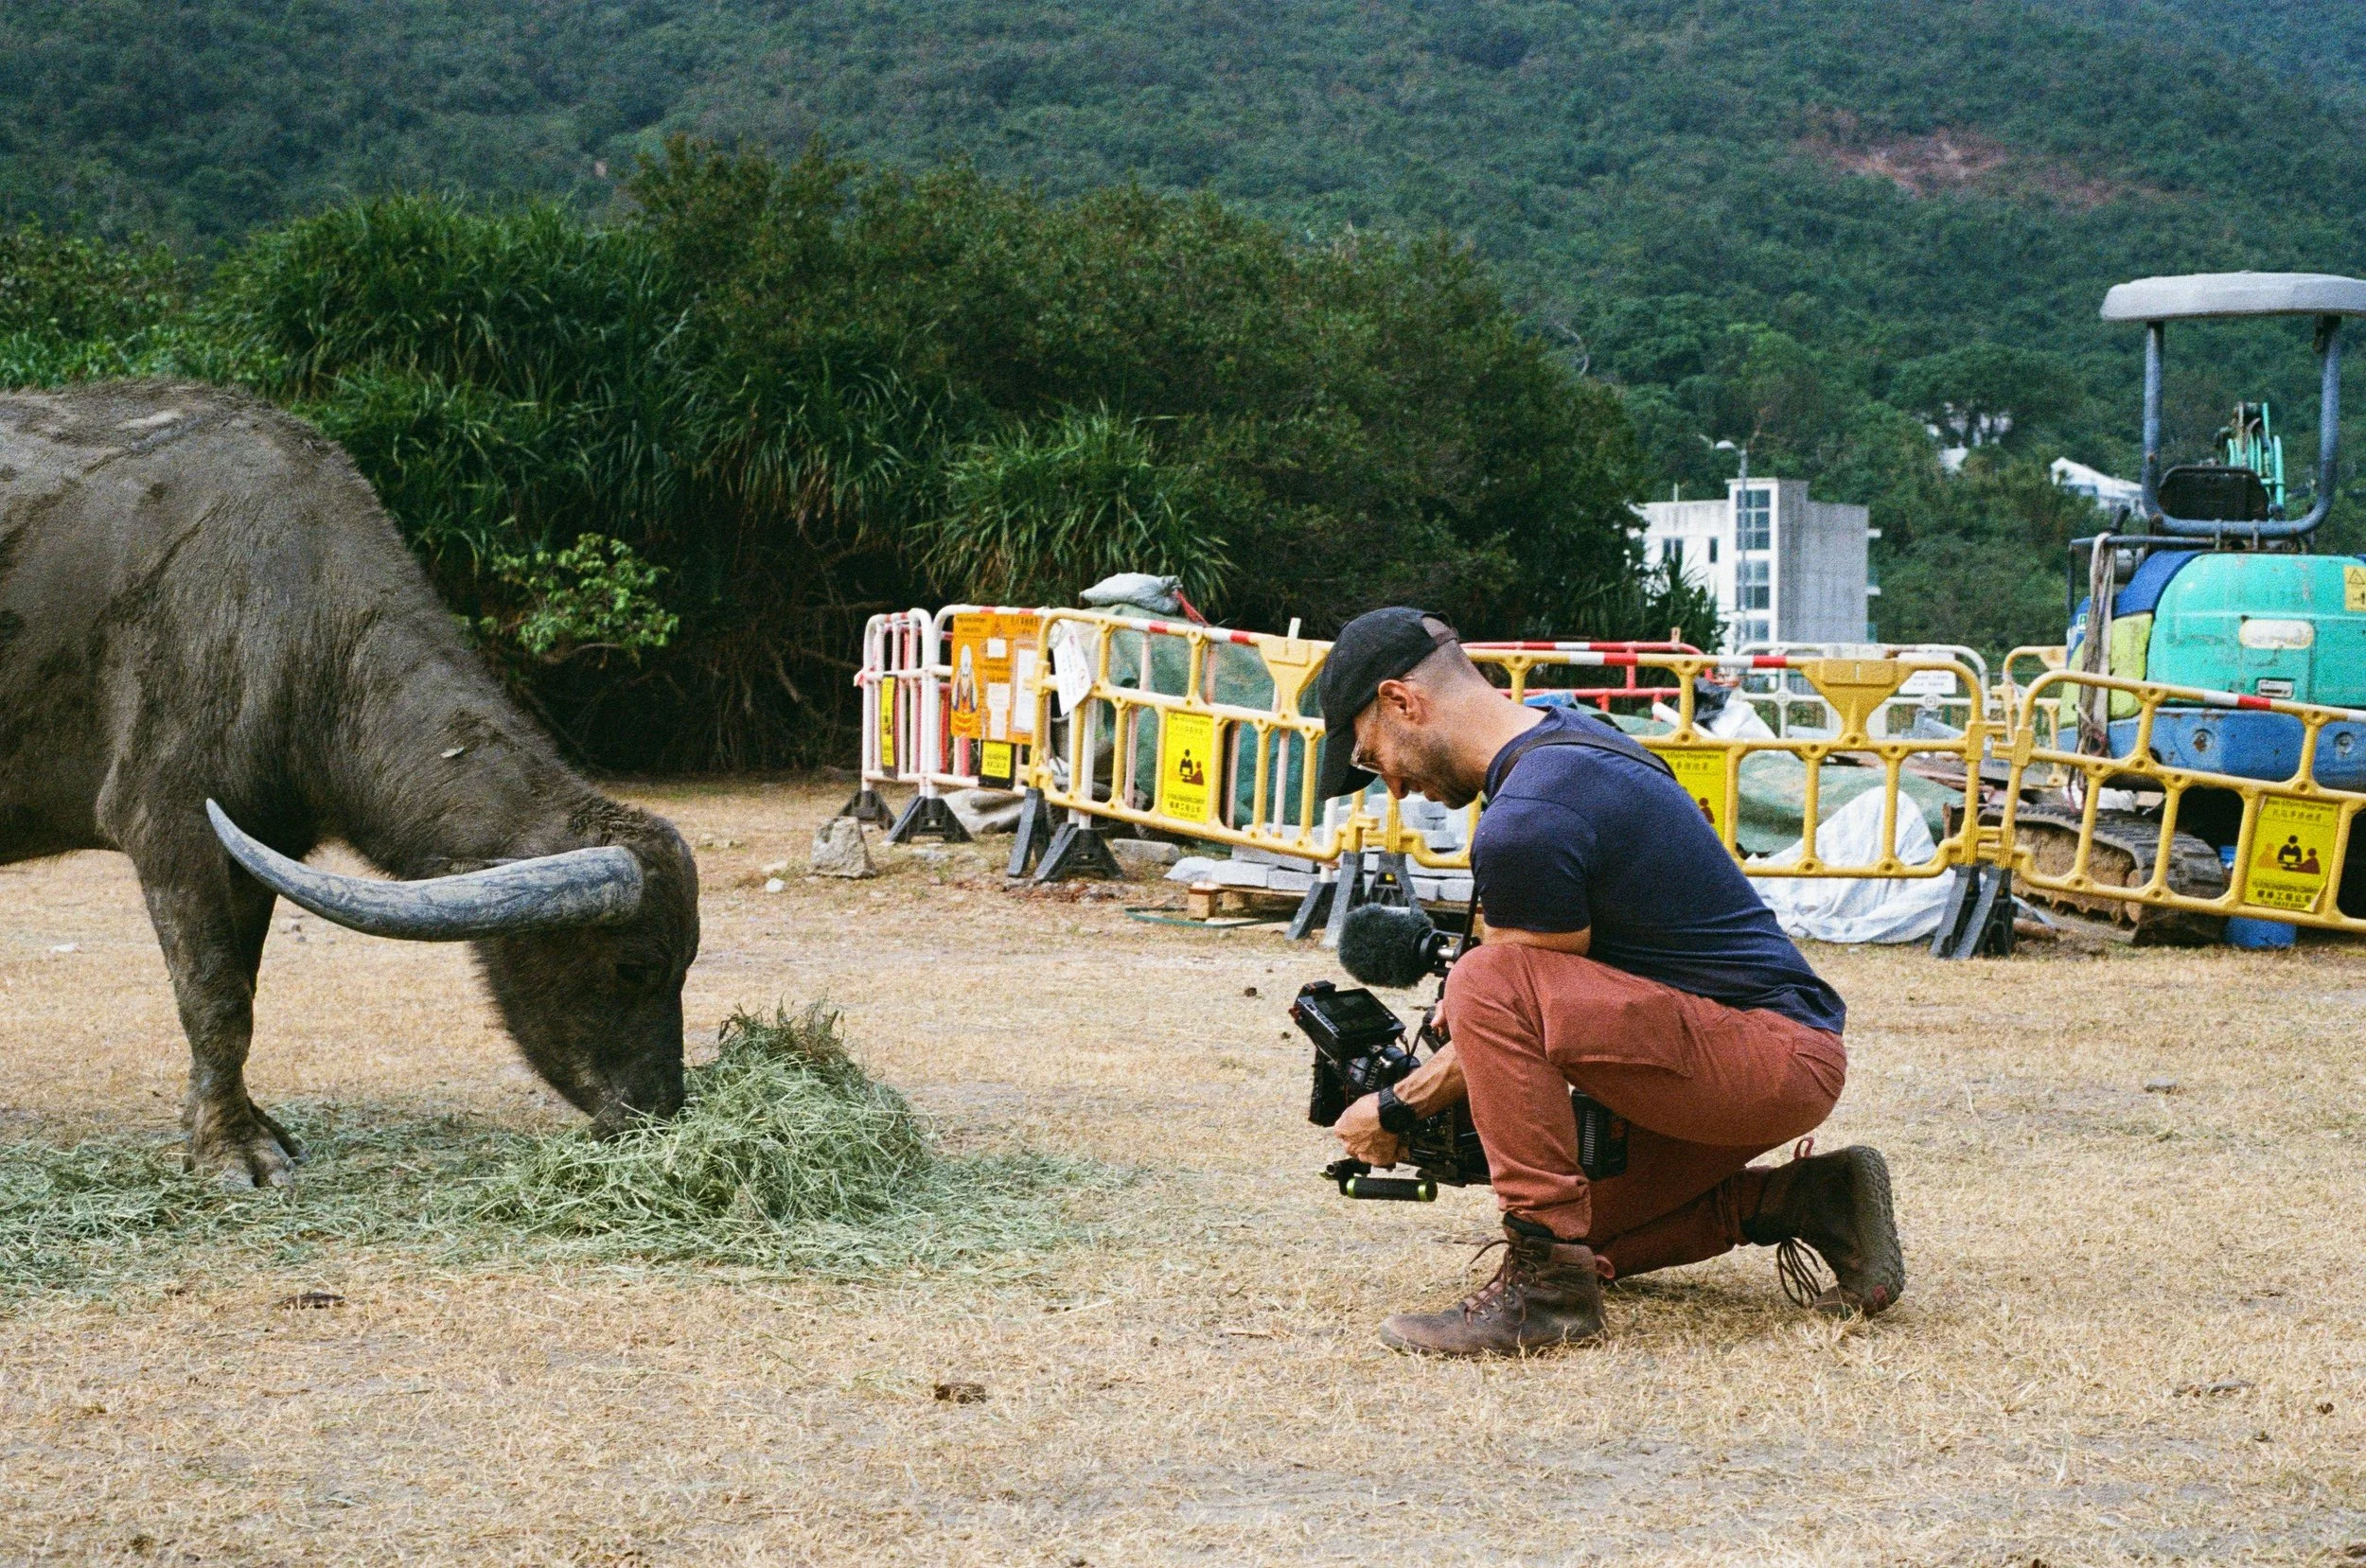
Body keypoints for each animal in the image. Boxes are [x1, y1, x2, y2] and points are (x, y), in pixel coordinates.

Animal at [0, 382, 699, 1185]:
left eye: (688, 962)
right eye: (634, 966)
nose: (658, 1108)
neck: (300, 616)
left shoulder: (260, 845)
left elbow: (244, 987)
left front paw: (244, 1120)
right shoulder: (168, 823)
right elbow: (215, 996)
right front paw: (231, 1148)